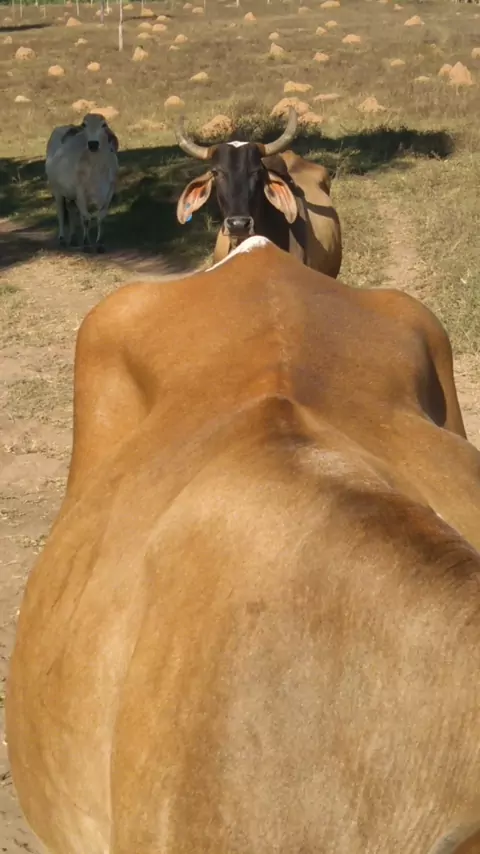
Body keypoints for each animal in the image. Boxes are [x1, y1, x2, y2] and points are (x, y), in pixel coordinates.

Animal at [45, 112, 119, 253]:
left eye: (104, 124)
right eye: (84, 125)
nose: (93, 144)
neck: (96, 169)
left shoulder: (108, 193)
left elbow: (101, 217)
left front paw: (100, 244)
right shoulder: (80, 193)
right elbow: (86, 219)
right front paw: (86, 244)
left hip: (70, 194)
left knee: (72, 211)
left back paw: (74, 239)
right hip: (57, 190)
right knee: (61, 213)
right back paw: (62, 239)